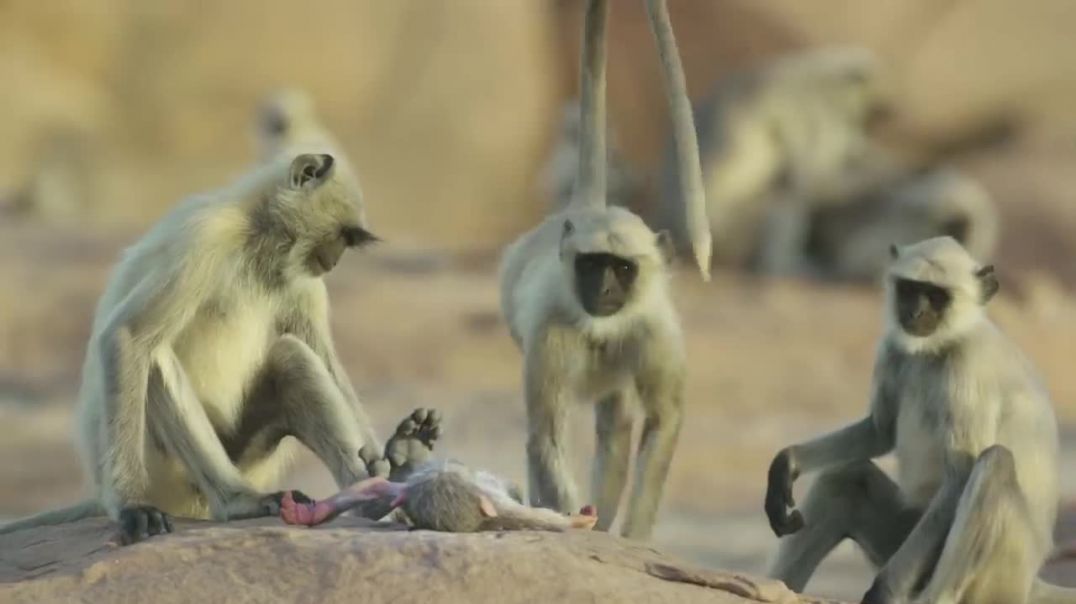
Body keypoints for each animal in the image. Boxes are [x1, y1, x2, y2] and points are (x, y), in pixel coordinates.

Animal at [497, 0, 710, 542]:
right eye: (593, 265)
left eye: (623, 267)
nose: (605, 287)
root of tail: (586, 208)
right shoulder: (550, 336)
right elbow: (547, 434)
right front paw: (569, 522)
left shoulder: (655, 334)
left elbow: (663, 421)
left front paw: (632, 538)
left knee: (617, 421)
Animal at [761, 236, 1076, 602]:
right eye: (910, 290)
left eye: (937, 297)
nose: (914, 312)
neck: (939, 347)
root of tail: (1032, 582)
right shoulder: (892, 347)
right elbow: (879, 431)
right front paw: (787, 463)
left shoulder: (968, 367)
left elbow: (959, 476)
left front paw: (882, 591)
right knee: (845, 478)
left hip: (1001, 570)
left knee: (994, 463)